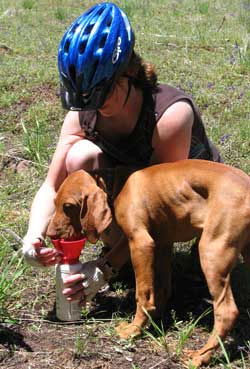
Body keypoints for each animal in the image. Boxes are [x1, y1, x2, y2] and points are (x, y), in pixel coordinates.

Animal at [47, 160, 250, 366]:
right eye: (54, 203)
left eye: (68, 206)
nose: (49, 234)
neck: (116, 184)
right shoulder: (160, 243)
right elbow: (161, 288)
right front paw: (154, 318)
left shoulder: (141, 243)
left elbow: (143, 294)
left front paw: (135, 329)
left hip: (212, 251)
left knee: (227, 312)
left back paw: (201, 356)